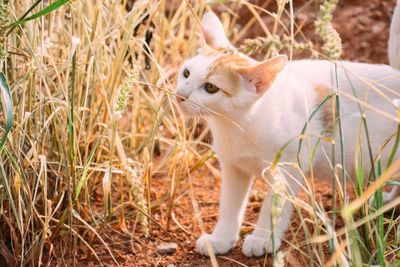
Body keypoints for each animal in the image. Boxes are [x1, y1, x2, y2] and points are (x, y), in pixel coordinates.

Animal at [174, 1, 400, 258]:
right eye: (186, 73)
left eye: (211, 88)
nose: (180, 95)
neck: (237, 125)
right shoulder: (233, 167)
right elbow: (230, 206)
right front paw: (220, 239)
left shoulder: (288, 166)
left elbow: (274, 205)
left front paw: (263, 238)